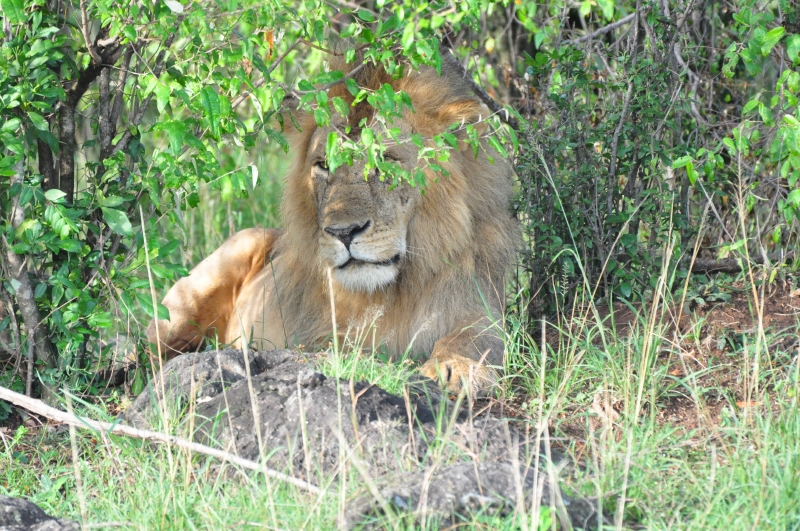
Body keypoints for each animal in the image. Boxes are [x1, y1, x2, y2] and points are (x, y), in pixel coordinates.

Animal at [146, 51, 520, 393]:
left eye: (384, 161)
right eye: (324, 165)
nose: (343, 232)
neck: (395, 290)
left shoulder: (478, 308)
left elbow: (474, 339)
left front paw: (457, 366)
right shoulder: (318, 336)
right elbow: (358, 352)